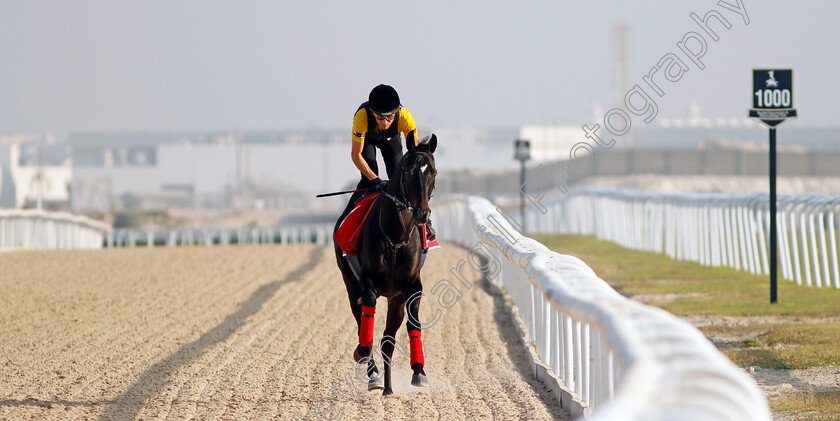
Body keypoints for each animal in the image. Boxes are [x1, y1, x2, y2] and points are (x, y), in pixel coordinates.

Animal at [334, 134, 440, 394]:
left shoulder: (411, 286)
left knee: (387, 340)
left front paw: (419, 372)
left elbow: (412, 324)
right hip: (350, 284)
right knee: (363, 323)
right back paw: (374, 376)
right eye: (408, 171)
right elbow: (367, 329)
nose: (422, 213)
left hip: (395, 298)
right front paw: (363, 356)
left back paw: (389, 389)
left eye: (432, 171)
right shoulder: (367, 284)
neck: (395, 236)